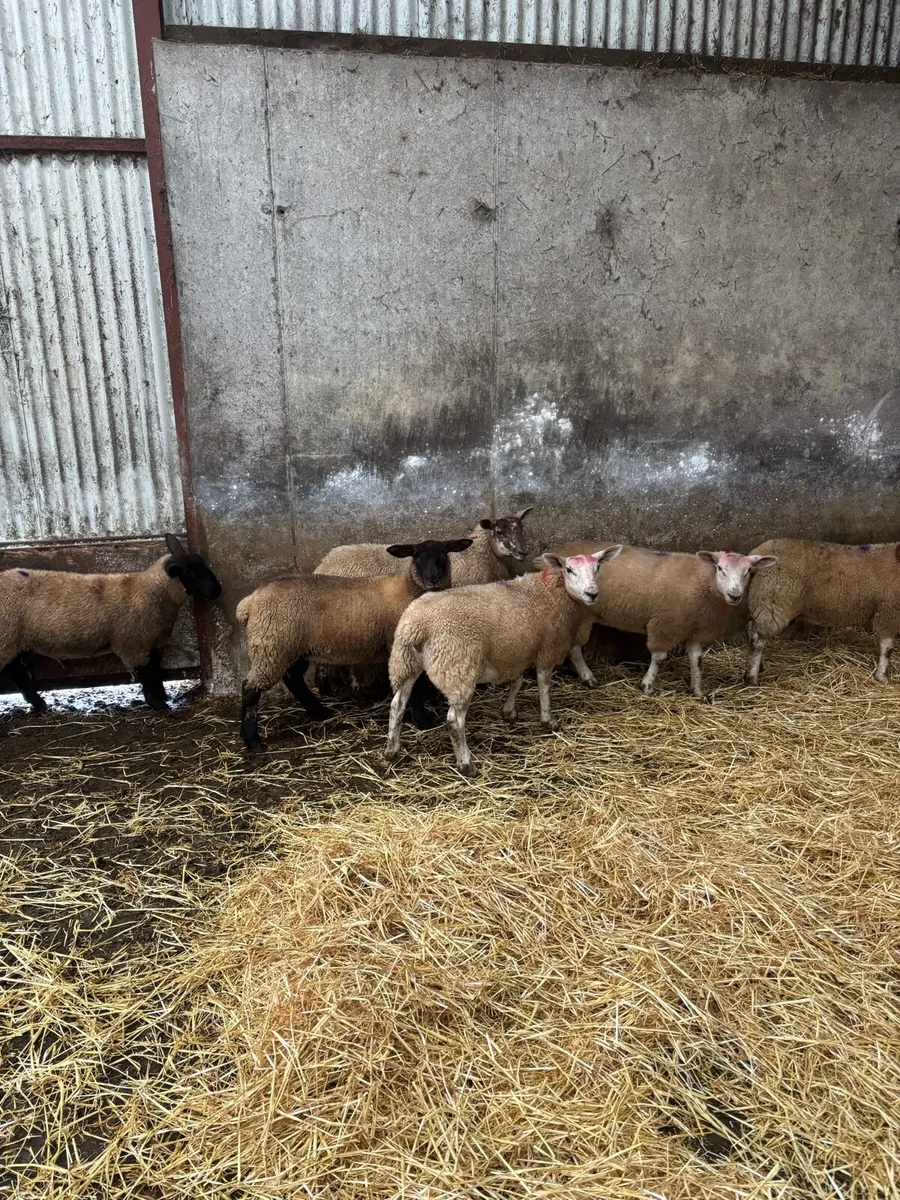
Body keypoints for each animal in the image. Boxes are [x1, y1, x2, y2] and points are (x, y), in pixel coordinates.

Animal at [0, 534, 222, 713]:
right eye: (189, 572)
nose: (217, 590)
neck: (148, 591)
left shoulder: (150, 640)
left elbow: (155, 669)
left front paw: (162, 696)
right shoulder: (133, 643)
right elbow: (147, 673)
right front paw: (156, 703)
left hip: (15, 641)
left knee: (16, 671)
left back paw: (39, 704)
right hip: (6, 637)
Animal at [236, 537, 472, 750]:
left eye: (444, 551)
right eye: (415, 555)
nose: (433, 578)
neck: (409, 588)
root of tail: (249, 602)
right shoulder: (402, 649)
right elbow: (412, 689)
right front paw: (423, 721)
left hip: (292, 647)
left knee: (293, 678)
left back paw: (320, 713)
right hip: (270, 646)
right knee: (250, 688)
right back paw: (253, 741)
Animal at [384, 546, 622, 774]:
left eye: (597, 568)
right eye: (570, 570)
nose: (592, 593)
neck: (552, 592)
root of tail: (418, 625)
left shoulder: (517, 651)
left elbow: (517, 682)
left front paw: (509, 711)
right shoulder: (547, 650)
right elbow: (544, 685)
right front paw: (548, 720)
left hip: (405, 662)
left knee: (397, 705)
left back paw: (392, 749)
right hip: (458, 668)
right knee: (454, 721)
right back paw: (466, 764)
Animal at [546, 540, 777, 698]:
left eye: (749, 571)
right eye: (720, 568)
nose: (735, 594)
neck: (703, 583)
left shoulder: (696, 629)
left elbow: (697, 659)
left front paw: (698, 690)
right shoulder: (665, 624)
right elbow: (658, 658)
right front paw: (647, 685)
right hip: (582, 614)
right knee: (575, 647)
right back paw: (588, 677)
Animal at [744, 538, 900, 685]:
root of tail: (759, 552)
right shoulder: (888, 614)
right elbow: (887, 648)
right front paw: (882, 676)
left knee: (751, 631)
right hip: (774, 604)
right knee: (757, 638)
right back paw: (751, 677)